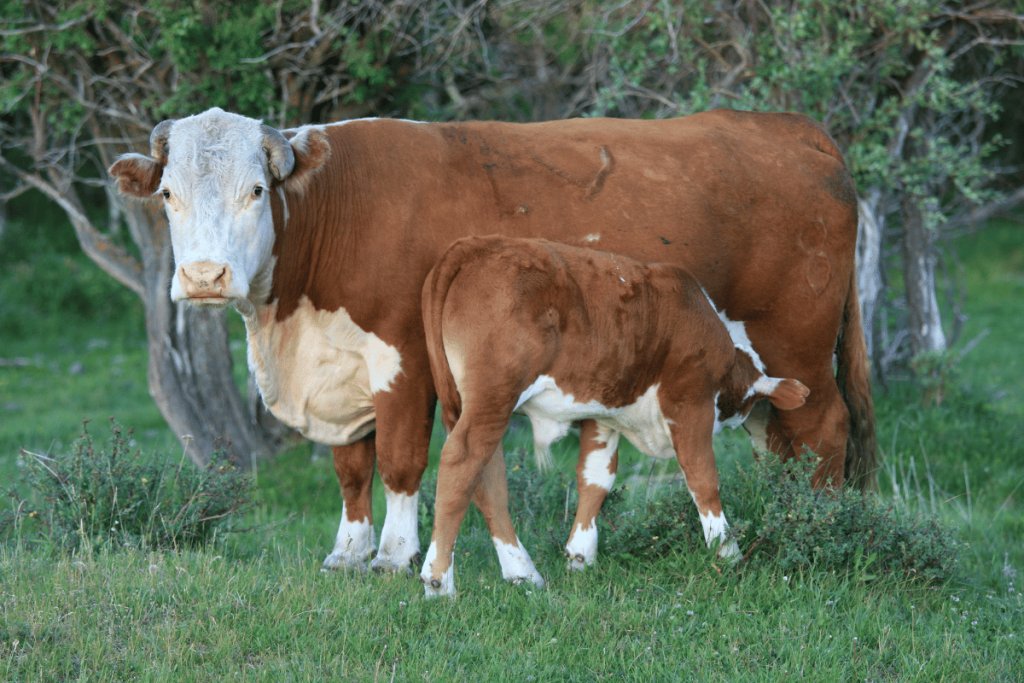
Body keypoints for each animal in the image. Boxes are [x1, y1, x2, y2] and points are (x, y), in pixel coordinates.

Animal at [418, 236, 810, 597]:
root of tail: (474, 245)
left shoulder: (603, 413)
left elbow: (596, 477)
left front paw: (580, 556)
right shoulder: (689, 402)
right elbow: (703, 479)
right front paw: (728, 554)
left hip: (471, 402)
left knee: (488, 477)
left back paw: (522, 573)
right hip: (494, 393)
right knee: (462, 461)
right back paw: (438, 581)